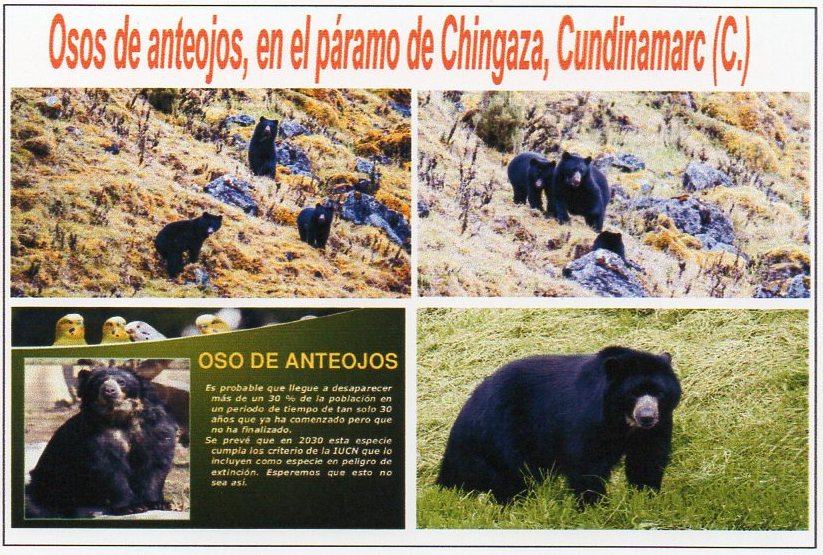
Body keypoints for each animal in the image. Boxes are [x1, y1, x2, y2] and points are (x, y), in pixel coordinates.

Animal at [27, 367, 178, 517]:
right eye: (98, 383)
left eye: (121, 382)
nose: (109, 390)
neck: (120, 416)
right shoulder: (95, 435)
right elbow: (109, 468)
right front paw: (131, 507)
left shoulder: (153, 429)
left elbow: (155, 462)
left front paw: (158, 503)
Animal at [437, 346, 680, 506]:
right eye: (633, 393)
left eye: (659, 392)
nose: (647, 417)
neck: (622, 419)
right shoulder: (587, 420)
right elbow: (587, 462)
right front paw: (595, 506)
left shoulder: (659, 424)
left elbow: (647, 459)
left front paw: (646, 498)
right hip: (500, 433)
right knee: (509, 471)